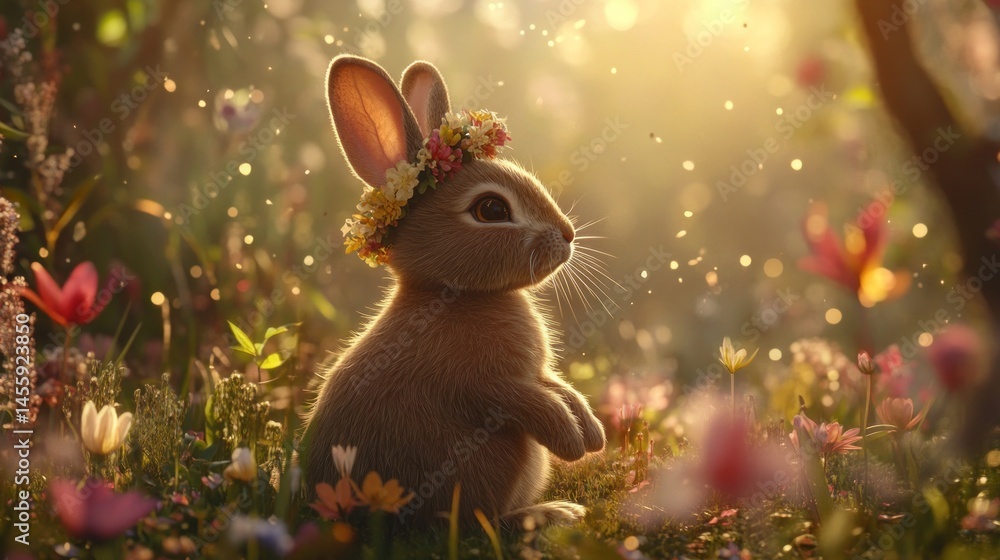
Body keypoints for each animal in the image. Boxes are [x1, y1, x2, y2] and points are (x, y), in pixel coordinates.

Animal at [300, 54, 606, 529]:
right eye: (492, 209)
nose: (568, 234)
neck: (455, 295)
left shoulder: (535, 374)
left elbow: (556, 385)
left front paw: (593, 433)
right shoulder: (483, 382)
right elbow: (524, 400)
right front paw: (572, 442)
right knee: (480, 524)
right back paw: (553, 512)